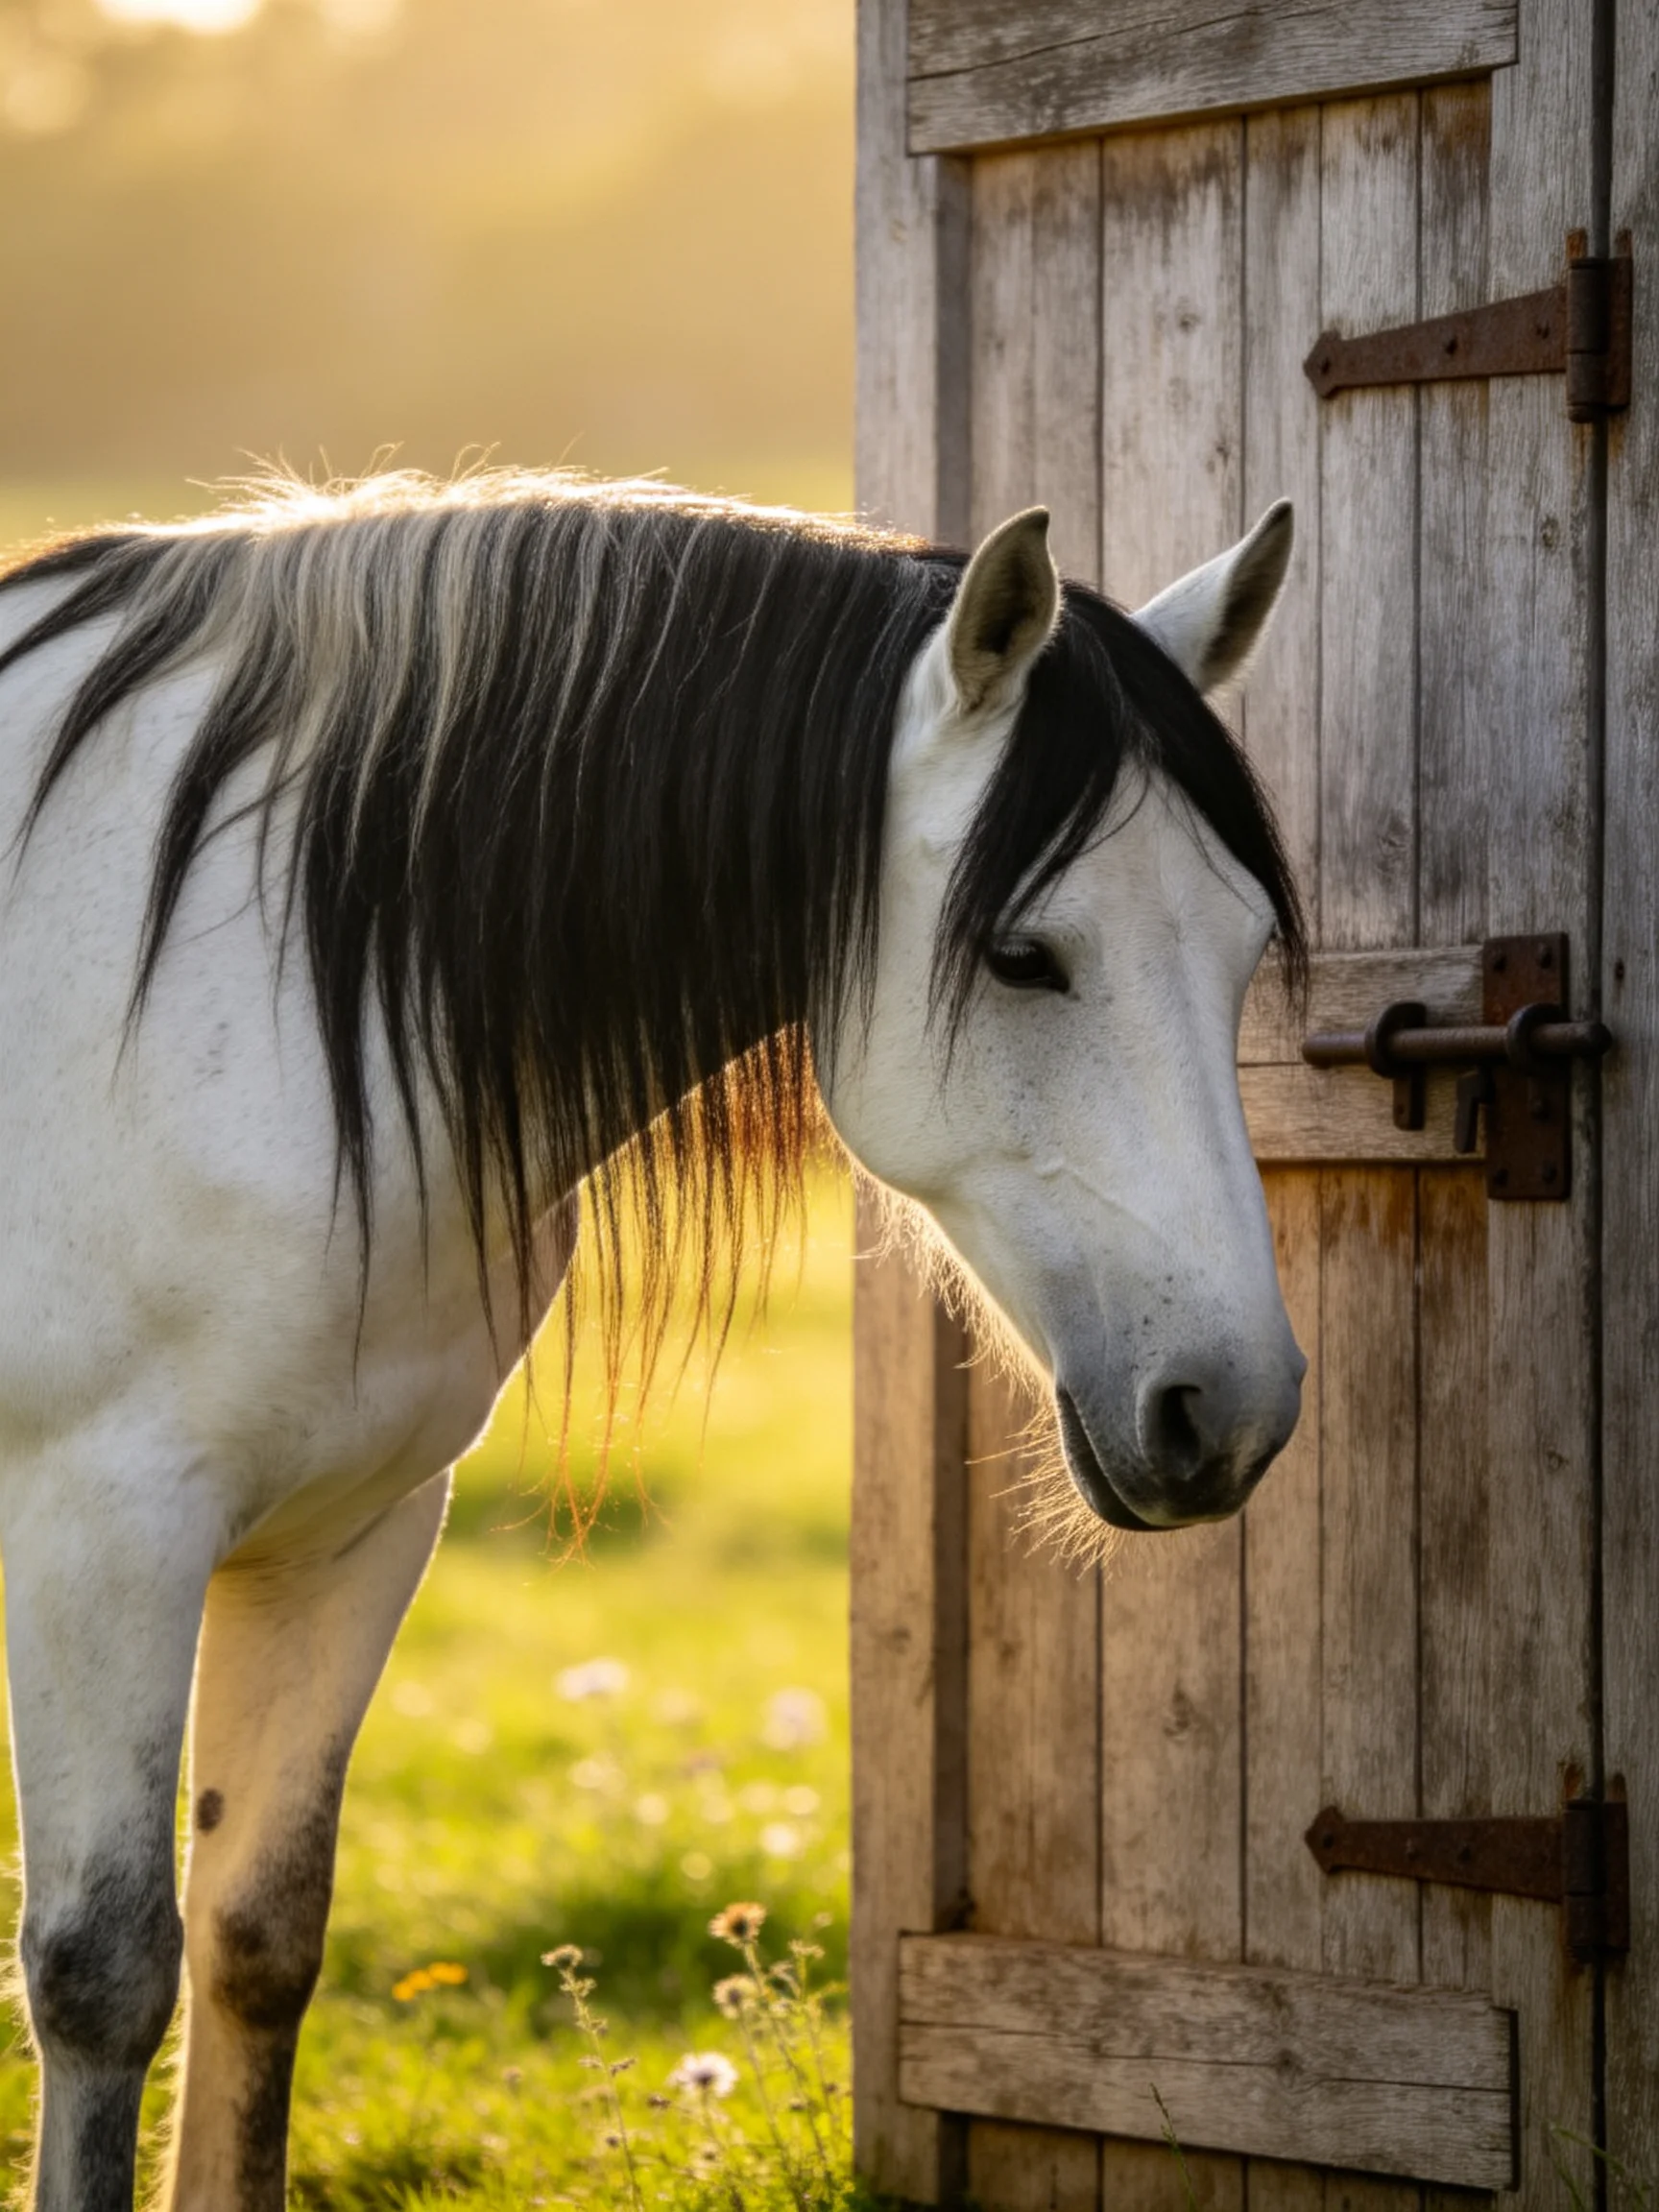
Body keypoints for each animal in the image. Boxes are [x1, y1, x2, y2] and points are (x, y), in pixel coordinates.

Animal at [0, 467, 1305, 2212]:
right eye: (1025, 954)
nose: (1230, 1407)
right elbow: (102, 1972)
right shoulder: (102, 1528)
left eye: (1242, 952)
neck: (248, 987)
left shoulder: (346, 1529)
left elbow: (258, 1939)